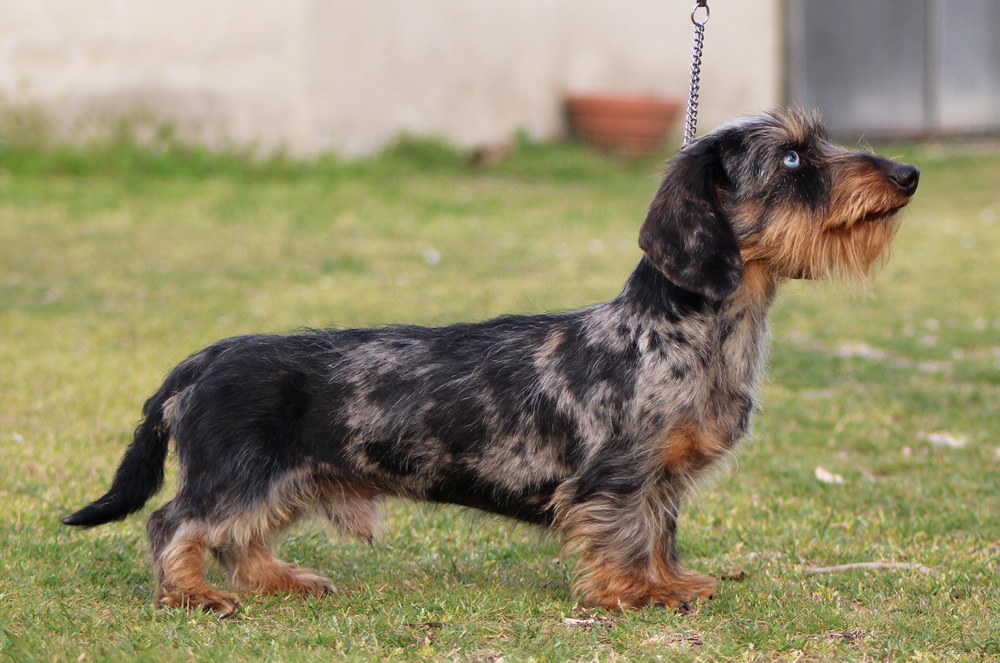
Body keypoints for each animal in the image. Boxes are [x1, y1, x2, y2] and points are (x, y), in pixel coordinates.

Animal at [66, 109, 916, 616]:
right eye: (794, 159)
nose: (909, 175)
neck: (680, 329)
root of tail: (200, 359)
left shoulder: (662, 478)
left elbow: (660, 531)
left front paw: (671, 581)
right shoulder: (618, 474)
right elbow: (624, 534)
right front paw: (634, 592)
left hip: (281, 479)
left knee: (240, 537)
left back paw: (281, 578)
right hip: (236, 471)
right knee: (176, 523)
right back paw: (192, 594)